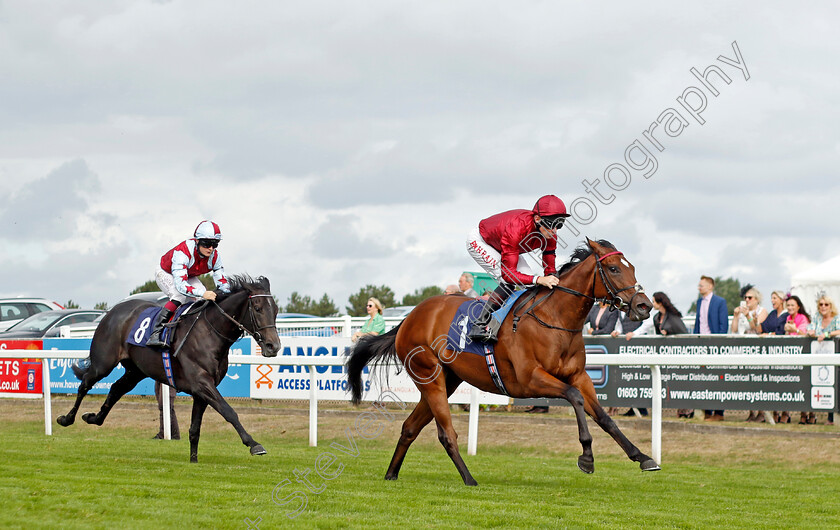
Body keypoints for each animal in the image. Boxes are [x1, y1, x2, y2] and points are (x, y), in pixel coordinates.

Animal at [55, 274, 280, 460]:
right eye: (258, 308)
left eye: (276, 310)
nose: (274, 346)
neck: (209, 333)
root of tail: (112, 311)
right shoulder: (201, 383)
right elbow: (229, 411)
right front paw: (254, 444)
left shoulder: (202, 390)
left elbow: (194, 429)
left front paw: (193, 461)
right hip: (103, 362)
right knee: (85, 383)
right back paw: (66, 418)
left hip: (135, 371)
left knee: (116, 389)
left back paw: (93, 417)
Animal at [344, 238, 660, 482]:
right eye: (614, 268)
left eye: (631, 267)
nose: (644, 305)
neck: (555, 319)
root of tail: (409, 318)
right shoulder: (529, 380)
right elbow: (575, 398)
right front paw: (587, 456)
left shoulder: (579, 376)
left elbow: (604, 417)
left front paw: (643, 457)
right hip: (429, 376)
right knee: (446, 433)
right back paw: (469, 479)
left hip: (446, 379)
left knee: (410, 427)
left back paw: (391, 474)